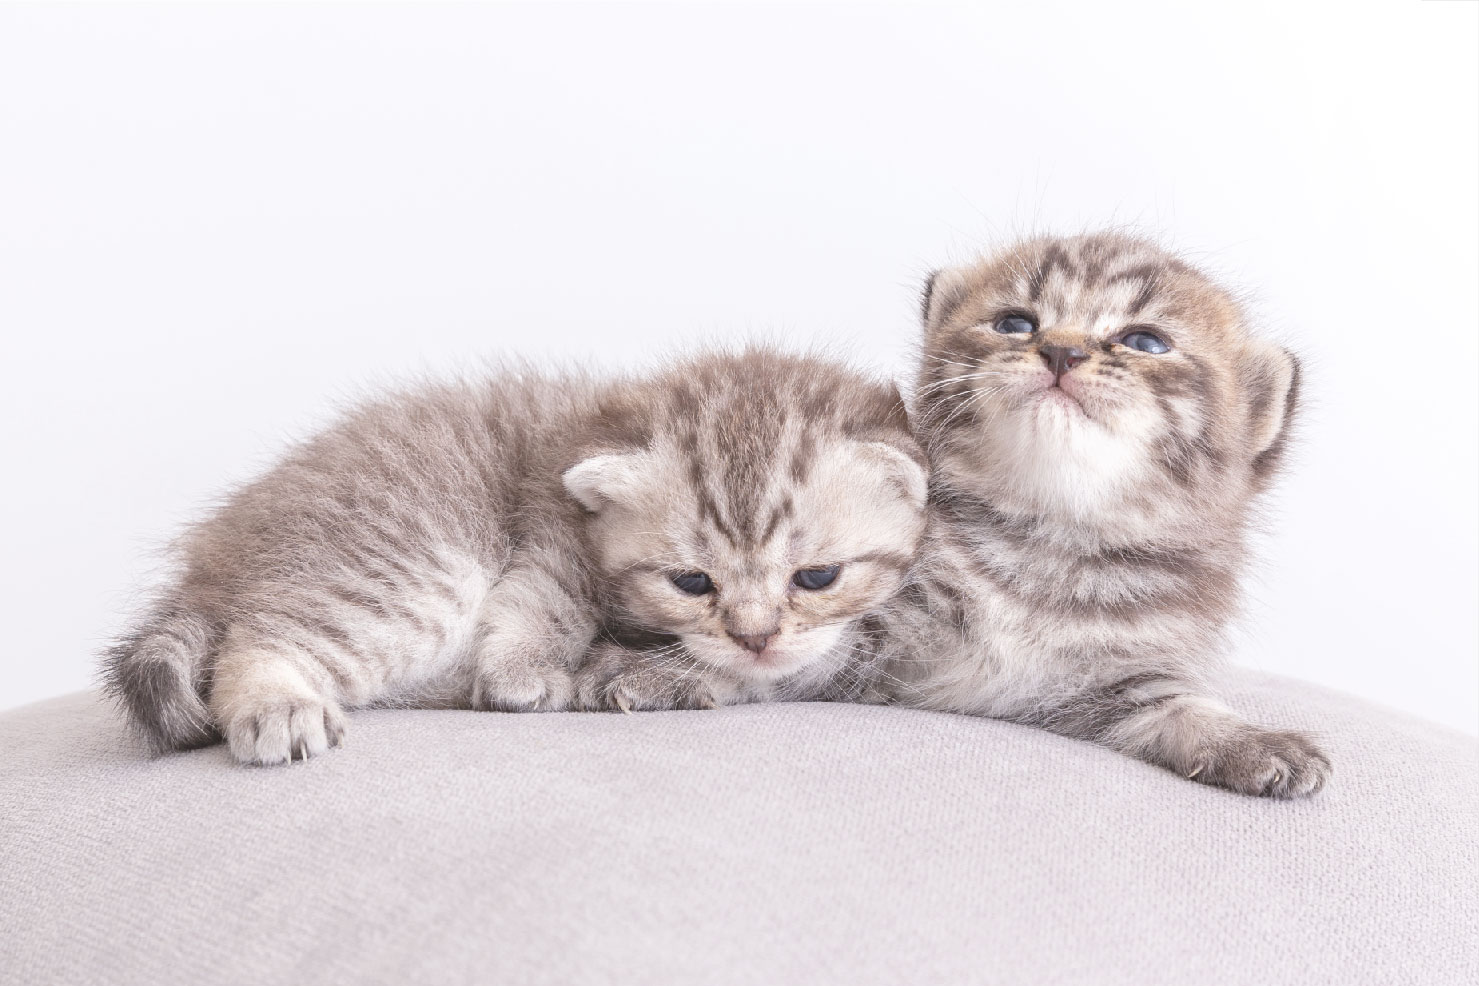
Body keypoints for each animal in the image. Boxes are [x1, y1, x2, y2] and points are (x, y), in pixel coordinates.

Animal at [104, 350, 922, 768]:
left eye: (816, 577)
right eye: (691, 582)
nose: (755, 637)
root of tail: (216, 562)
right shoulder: (550, 509)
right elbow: (550, 592)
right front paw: (523, 671)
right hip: (413, 572)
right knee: (260, 636)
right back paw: (275, 703)